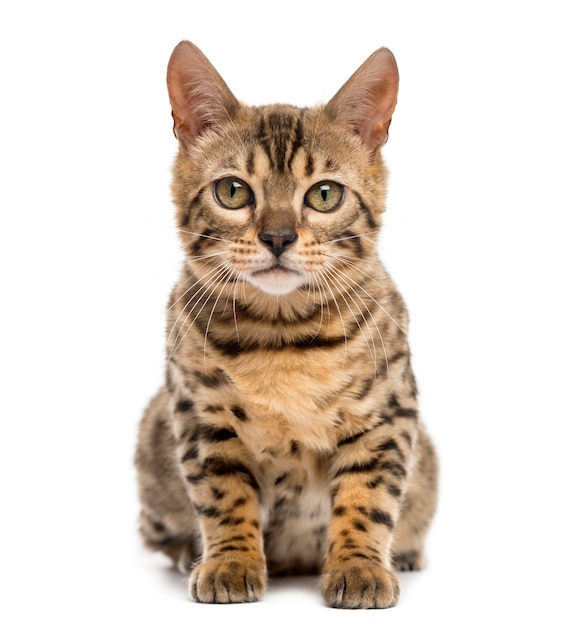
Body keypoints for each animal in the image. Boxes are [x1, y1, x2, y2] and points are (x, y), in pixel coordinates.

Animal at [138, 41, 440, 608]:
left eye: (324, 195)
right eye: (233, 191)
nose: (278, 237)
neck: (283, 337)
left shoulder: (386, 412)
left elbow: (368, 497)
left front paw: (360, 566)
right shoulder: (200, 413)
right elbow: (223, 494)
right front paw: (230, 562)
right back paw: (186, 551)